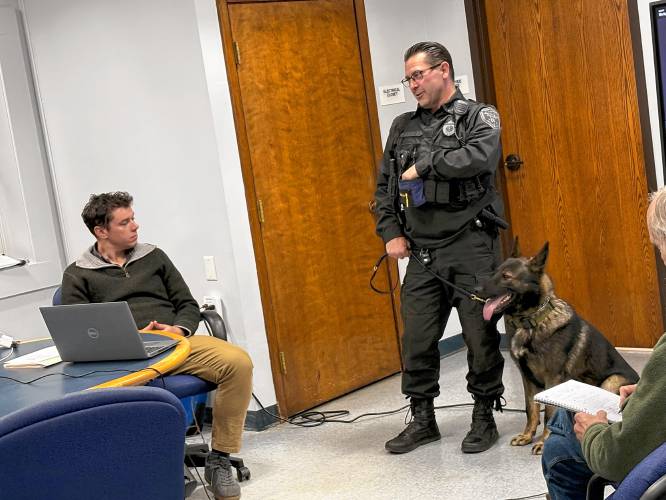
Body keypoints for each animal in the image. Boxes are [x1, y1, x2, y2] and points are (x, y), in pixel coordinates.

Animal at [480, 240, 636, 456]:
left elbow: (549, 413)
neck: (532, 322)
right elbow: (531, 408)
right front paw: (527, 435)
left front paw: (544, 442)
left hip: (611, 381)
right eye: (494, 272)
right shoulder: (527, 379)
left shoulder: (553, 379)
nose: (476, 289)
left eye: (506, 276)